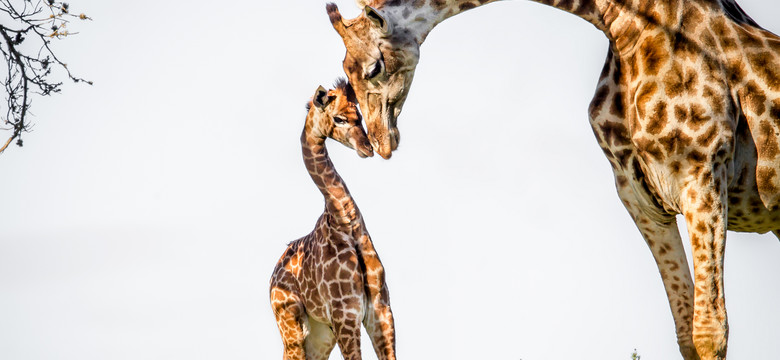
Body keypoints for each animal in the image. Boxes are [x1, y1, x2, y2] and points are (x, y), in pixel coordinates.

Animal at [272, 80, 400, 360]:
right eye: (339, 118)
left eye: (359, 115)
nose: (368, 148)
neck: (345, 223)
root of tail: (272, 276)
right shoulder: (345, 313)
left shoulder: (381, 309)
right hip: (291, 324)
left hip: (320, 333)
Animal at [326, 0, 780, 360]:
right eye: (343, 71)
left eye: (373, 67)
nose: (380, 142)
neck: (627, 27)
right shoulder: (641, 199)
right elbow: (687, 335)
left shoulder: (701, 174)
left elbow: (710, 332)